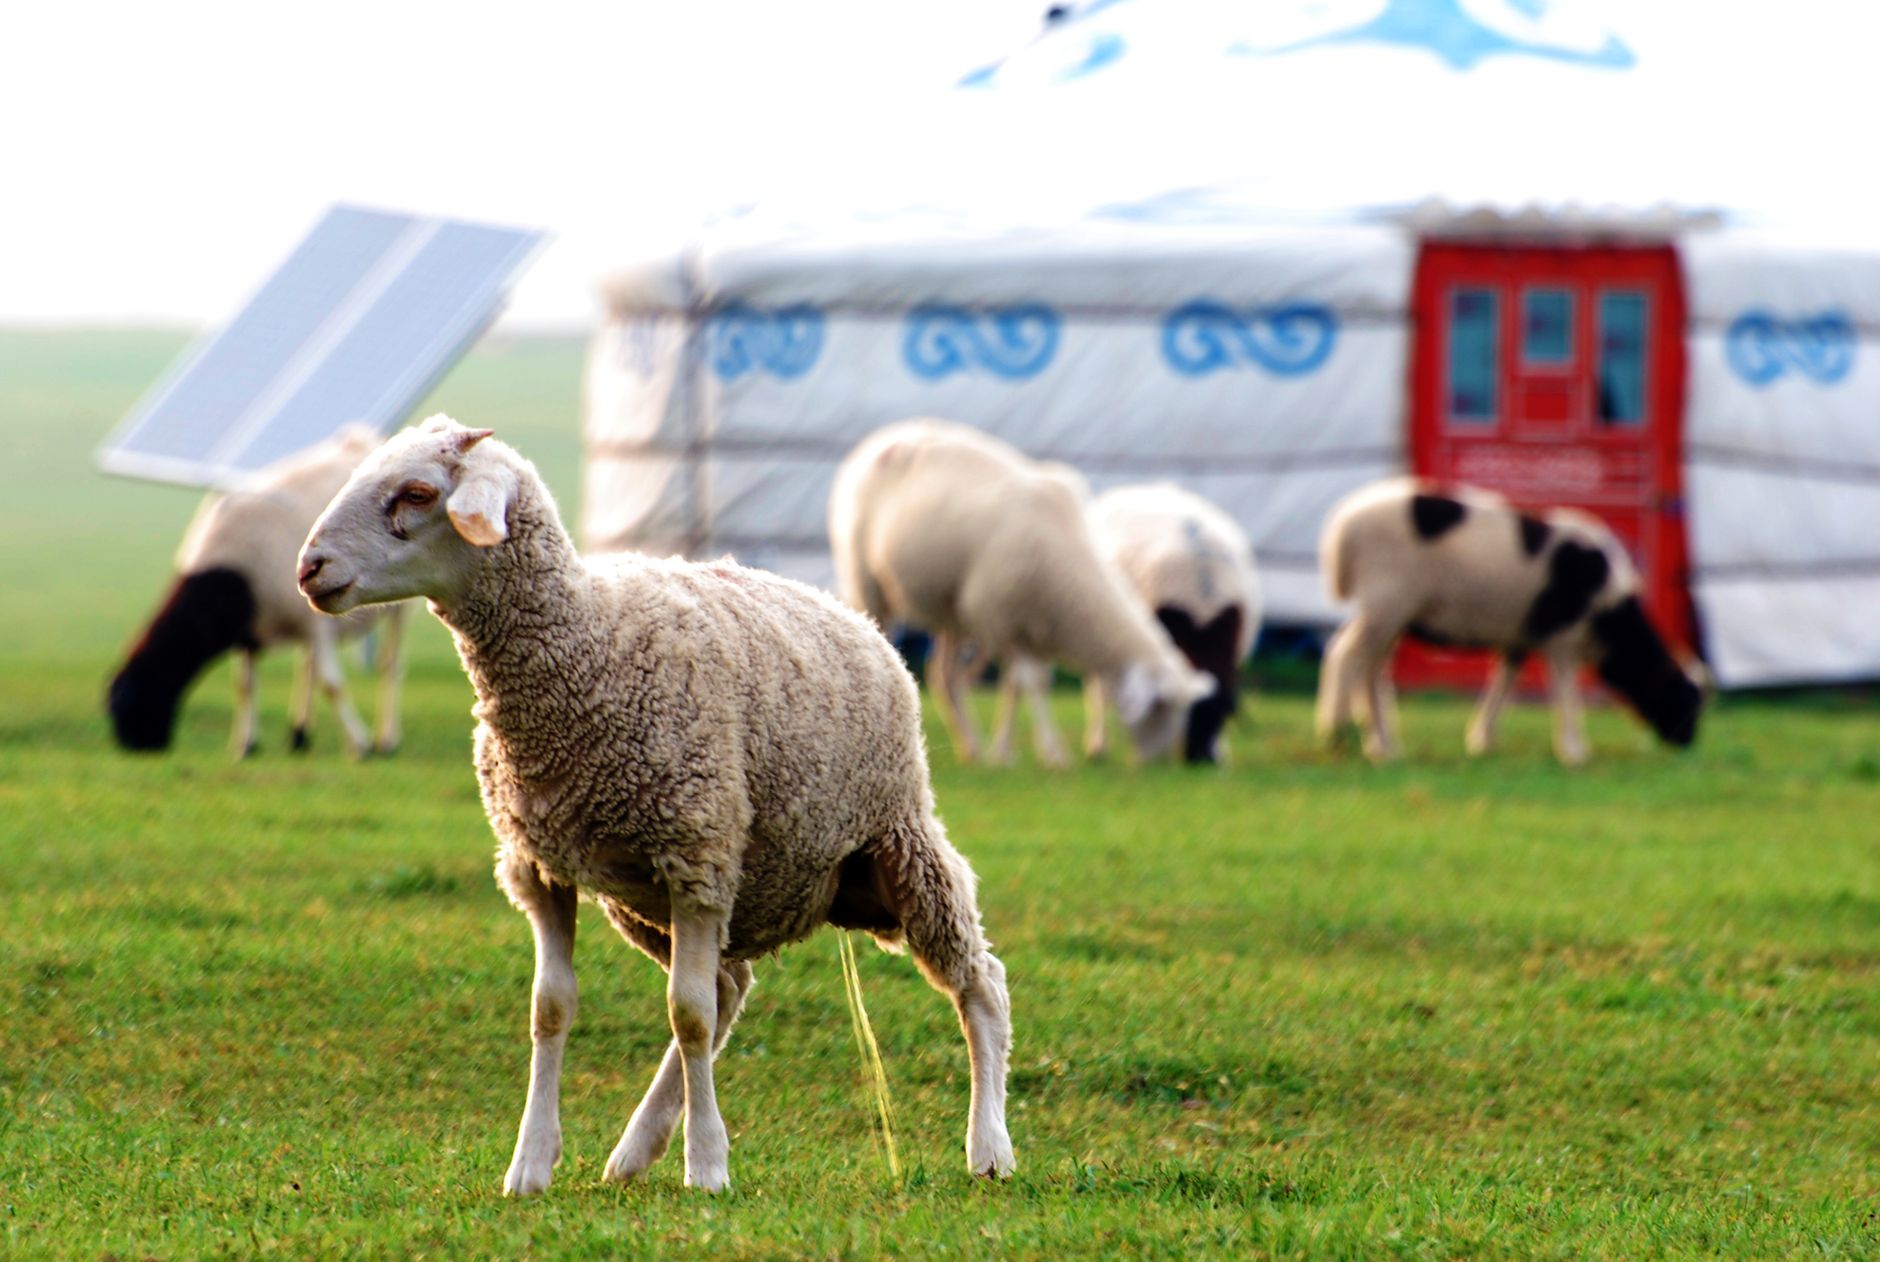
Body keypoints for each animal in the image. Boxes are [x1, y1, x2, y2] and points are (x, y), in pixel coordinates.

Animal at [107, 423, 407, 758]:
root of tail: (360, 439)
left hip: (395, 606)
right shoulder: (249, 631)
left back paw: (387, 738)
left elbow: (332, 684)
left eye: (133, 707)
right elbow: (245, 685)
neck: (231, 577)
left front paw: (361, 744)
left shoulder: (311, 623)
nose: (140, 748)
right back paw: (300, 735)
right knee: (308, 667)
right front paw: (246, 744)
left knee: (389, 664)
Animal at [295, 414, 1013, 1194]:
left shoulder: (698, 856)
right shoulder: (541, 869)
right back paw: (636, 1149)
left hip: (898, 841)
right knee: (731, 984)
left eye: (418, 493)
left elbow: (687, 1014)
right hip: (645, 900)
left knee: (979, 985)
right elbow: (552, 1009)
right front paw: (531, 1164)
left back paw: (989, 1146)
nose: (308, 569)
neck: (585, 648)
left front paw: (708, 1167)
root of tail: (852, 614)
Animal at [829, 418, 1215, 767]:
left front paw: (1003, 752)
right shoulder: (997, 619)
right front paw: (1053, 754)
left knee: (944, 677)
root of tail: (885, 435)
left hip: (950, 609)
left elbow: (1015, 686)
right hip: (866, 580)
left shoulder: (1031, 625)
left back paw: (972, 747)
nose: (1160, 764)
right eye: (1160, 708)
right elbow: (1034, 683)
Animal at [1316, 476, 1703, 765]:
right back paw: (1337, 731)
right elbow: (1566, 690)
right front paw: (1575, 750)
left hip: (1394, 614)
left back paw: (1383, 747)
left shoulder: (1520, 637)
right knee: (1345, 654)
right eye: (1685, 699)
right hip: (1386, 601)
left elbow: (1503, 682)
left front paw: (1482, 739)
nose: (1688, 743)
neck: (1613, 620)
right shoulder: (1563, 635)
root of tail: (1343, 524)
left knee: (1370, 670)